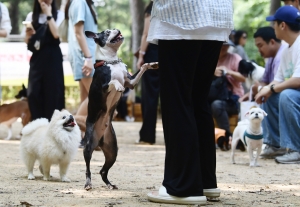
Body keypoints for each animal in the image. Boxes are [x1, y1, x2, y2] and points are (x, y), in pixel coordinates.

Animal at [81, 29, 158, 191]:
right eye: (106, 32)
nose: (117, 30)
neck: (112, 61)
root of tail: (98, 140)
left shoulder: (131, 83)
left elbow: (143, 67)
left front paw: (152, 64)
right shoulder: (103, 86)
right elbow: (114, 81)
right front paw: (118, 86)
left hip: (112, 151)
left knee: (103, 171)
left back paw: (110, 185)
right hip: (88, 146)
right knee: (88, 167)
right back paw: (88, 184)